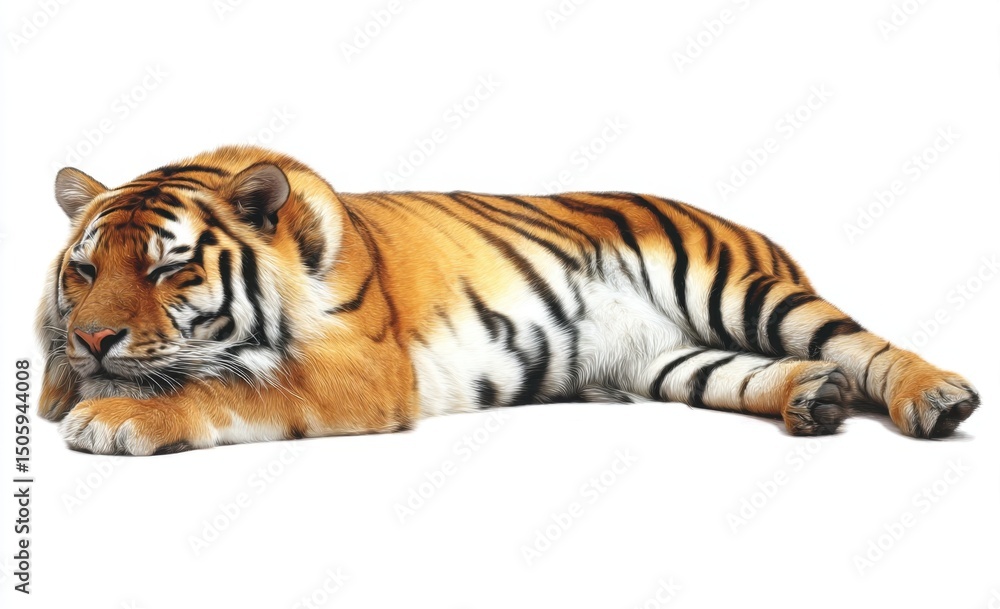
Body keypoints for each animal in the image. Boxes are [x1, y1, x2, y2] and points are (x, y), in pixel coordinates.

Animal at [36, 145, 980, 455]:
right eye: (84, 270)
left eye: (167, 270)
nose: (92, 341)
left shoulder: (363, 370)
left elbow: (229, 384)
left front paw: (114, 414)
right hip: (670, 358)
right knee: (766, 371)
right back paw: (813, 398)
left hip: (738, 286)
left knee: (856, 339)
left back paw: (935, 395)